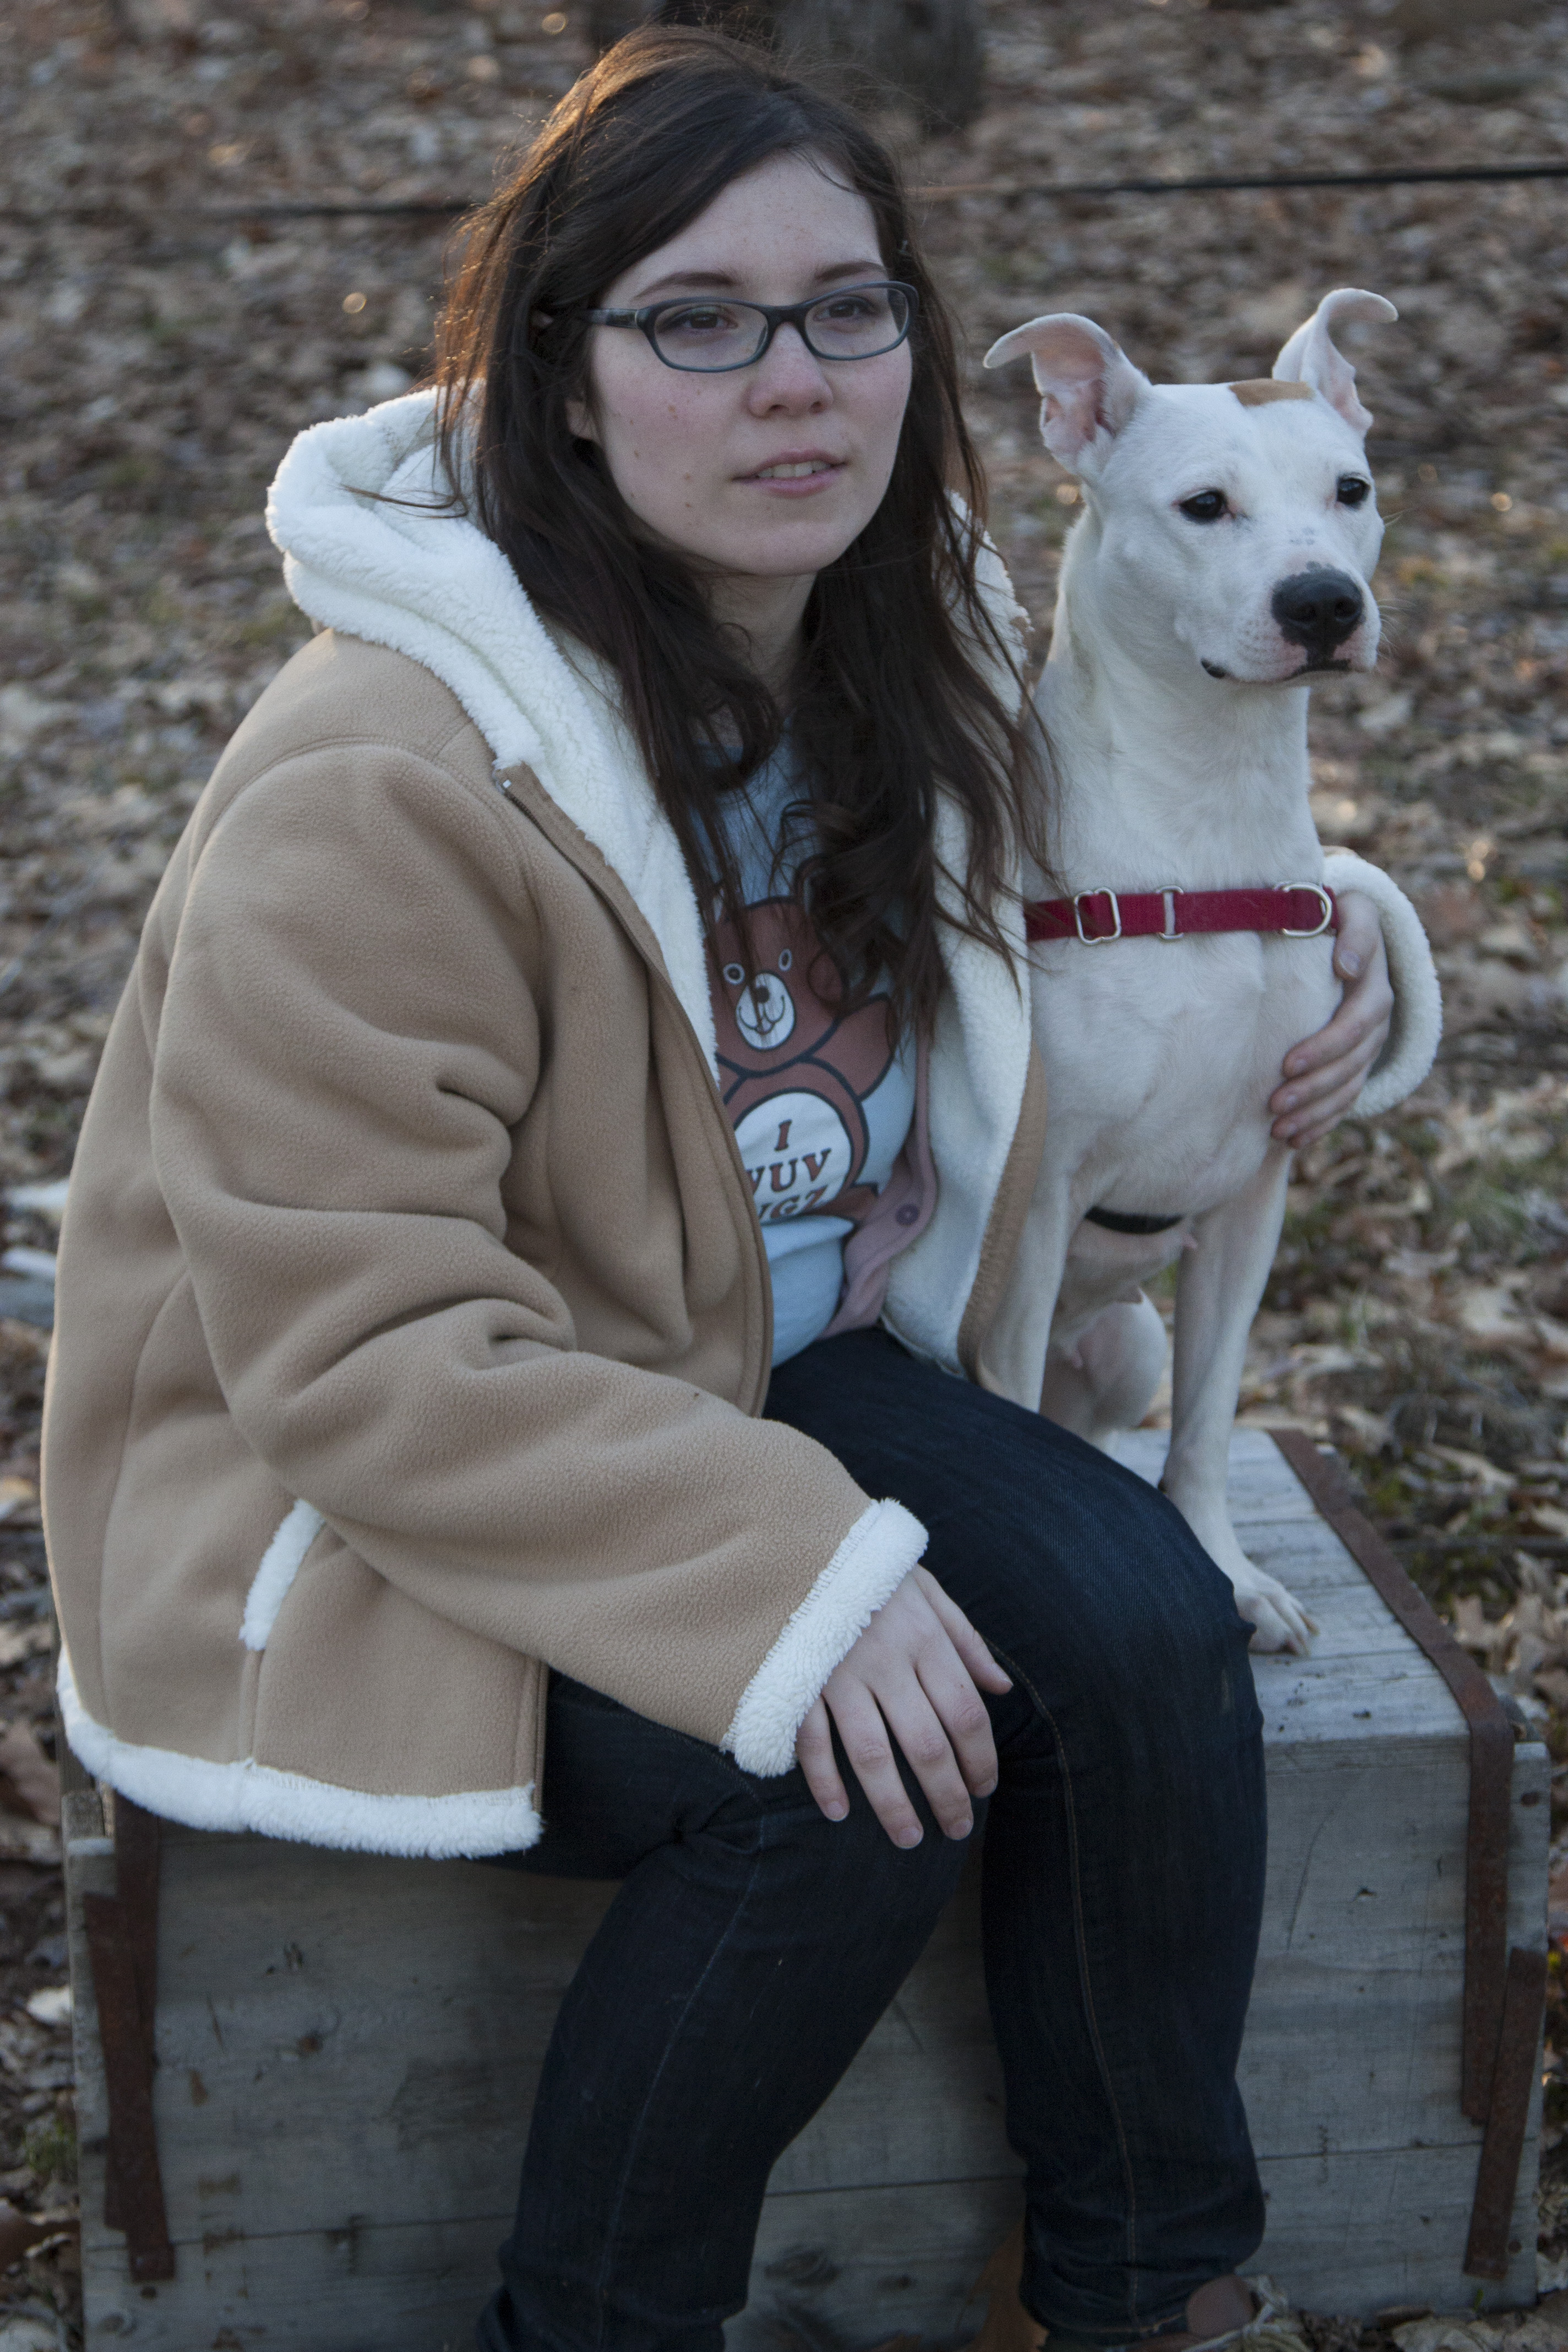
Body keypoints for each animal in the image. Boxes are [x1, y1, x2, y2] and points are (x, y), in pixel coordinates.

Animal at [981, 289, 1438, 1655]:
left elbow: (1202, 1424)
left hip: (1126, 1344)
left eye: (1349, 489)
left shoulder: (1251, 1201)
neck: (1203, 810)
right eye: (1201, 506)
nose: (1321, 603)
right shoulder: (1032, 1208)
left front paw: (1226, 1572)